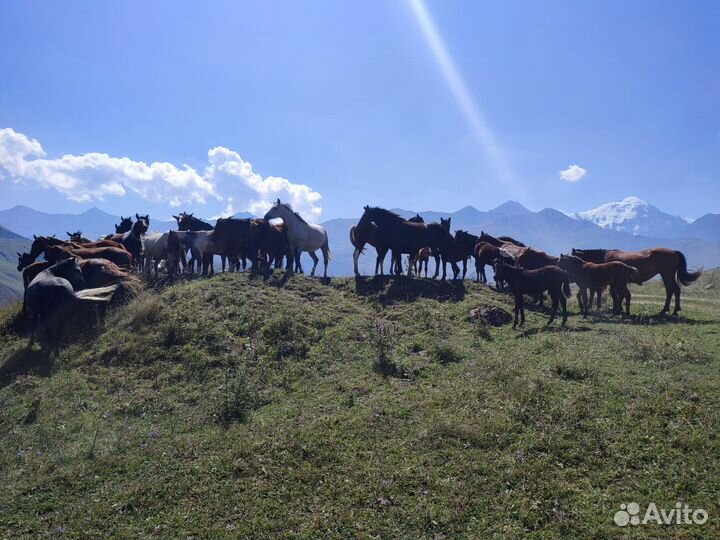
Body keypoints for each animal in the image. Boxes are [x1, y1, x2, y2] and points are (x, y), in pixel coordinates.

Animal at [572, 247, 700, 314]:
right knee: (672, 291)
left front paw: (617, 309)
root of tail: (674, 251)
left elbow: (614, 295)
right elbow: (618, 295)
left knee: (674, 290)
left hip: (667, 275)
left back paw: (671, 310)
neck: (605, 257)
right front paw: (619, 308)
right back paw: (669, 310)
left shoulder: (613, 283)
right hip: (667, 276)